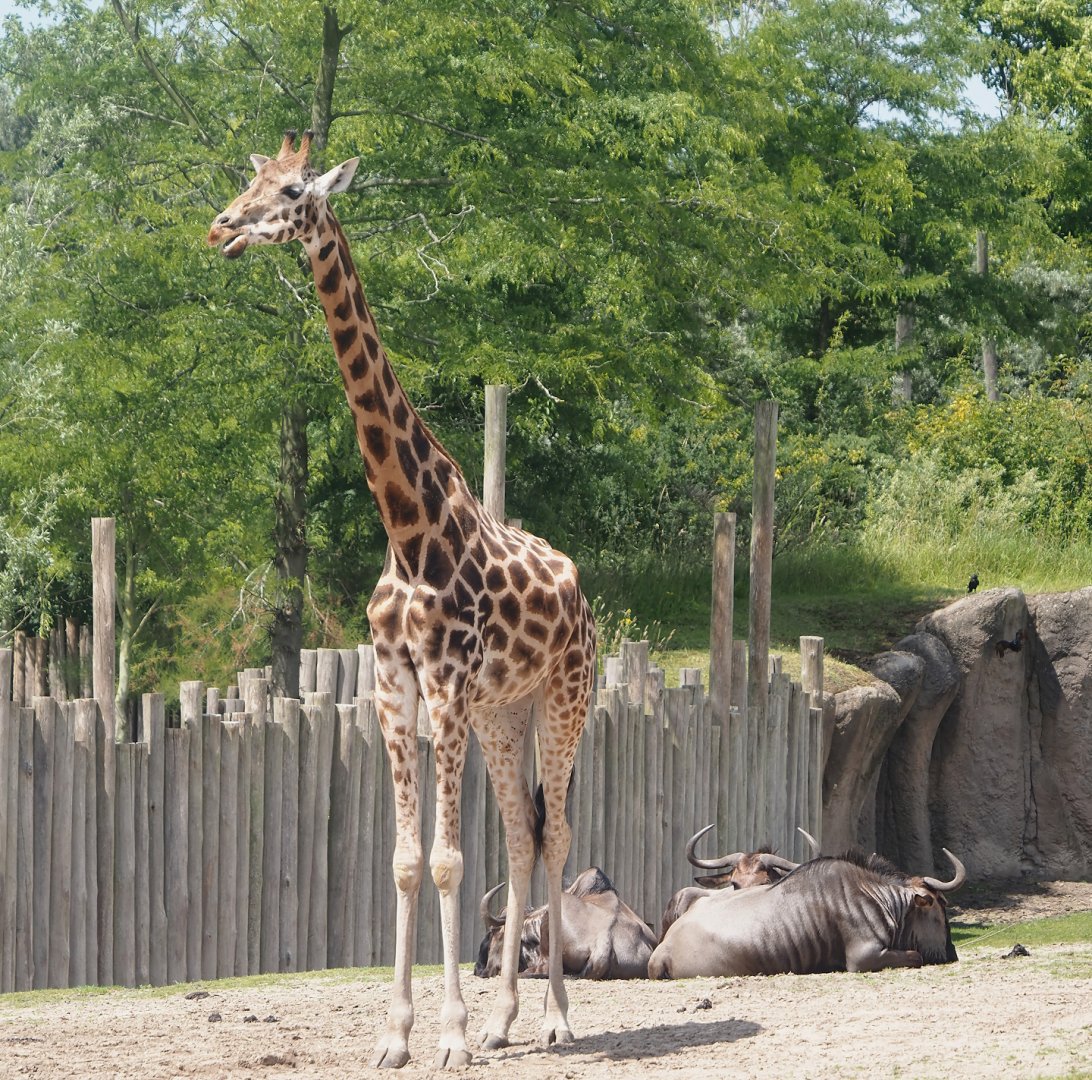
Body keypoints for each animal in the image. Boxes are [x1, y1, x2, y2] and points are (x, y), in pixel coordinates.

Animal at [208, 131, 596, 1069]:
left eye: (294, 190)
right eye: (250, 179)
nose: (223, 227)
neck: (407, 526)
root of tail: (583, 595)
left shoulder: (446, 684)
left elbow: (450, 860)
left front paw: (447, 1037)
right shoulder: (393, 687)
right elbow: (406, 860)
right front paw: (398, 1036)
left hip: (566, 698)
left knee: (559, 833)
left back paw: (558, 1021)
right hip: (505, 713)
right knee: (523, 833)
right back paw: (505, 1022)